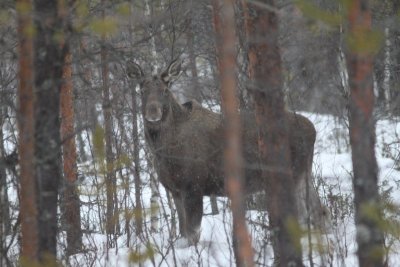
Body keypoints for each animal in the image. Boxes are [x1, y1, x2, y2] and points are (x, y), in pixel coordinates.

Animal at [127, 59, 328, 248]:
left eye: (165, 90)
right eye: (142, 89)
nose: (153, 112)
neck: (163, 150)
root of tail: (313, 129)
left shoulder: (193, 186)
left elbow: (192, 233)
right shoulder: (175, 189)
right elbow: (183, 231)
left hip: (293, 176)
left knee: (304, 216)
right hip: (305, 175)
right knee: (319, 212)